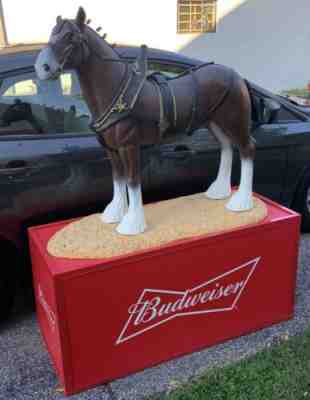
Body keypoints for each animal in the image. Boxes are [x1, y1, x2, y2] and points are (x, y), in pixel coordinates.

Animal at [35, 7, 256, 236]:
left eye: (71, 36)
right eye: (51, 34)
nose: (42, 67)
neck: (118, 91)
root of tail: (236, 75)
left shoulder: (129, 145)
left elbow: (132, 180)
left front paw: (132, 223)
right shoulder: (111, 149)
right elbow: (118, 178)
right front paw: (115, 213)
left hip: (234, 121)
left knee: (247, 149)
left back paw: (241, 202)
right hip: (215, 123)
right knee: (227, 148)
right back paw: (219, 191)